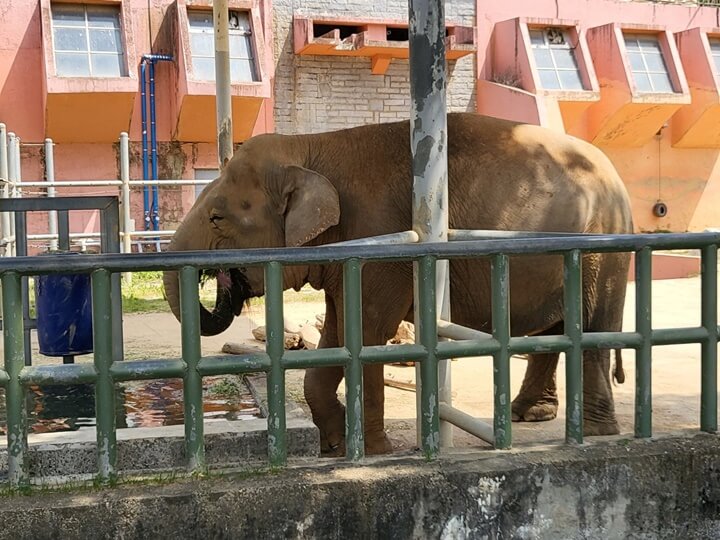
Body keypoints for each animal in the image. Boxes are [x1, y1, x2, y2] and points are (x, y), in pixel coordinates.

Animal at [162, 113, 632, 456]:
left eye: (217, 217)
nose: (220, 278)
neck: (309, 147)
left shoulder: (379, 244)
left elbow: (367, 333)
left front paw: (375, 452)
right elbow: (338, 334)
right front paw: (336, 444)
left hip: (602, 250)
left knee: (593, 326)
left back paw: (597, 434)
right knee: (557, 330)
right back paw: (529, 415)